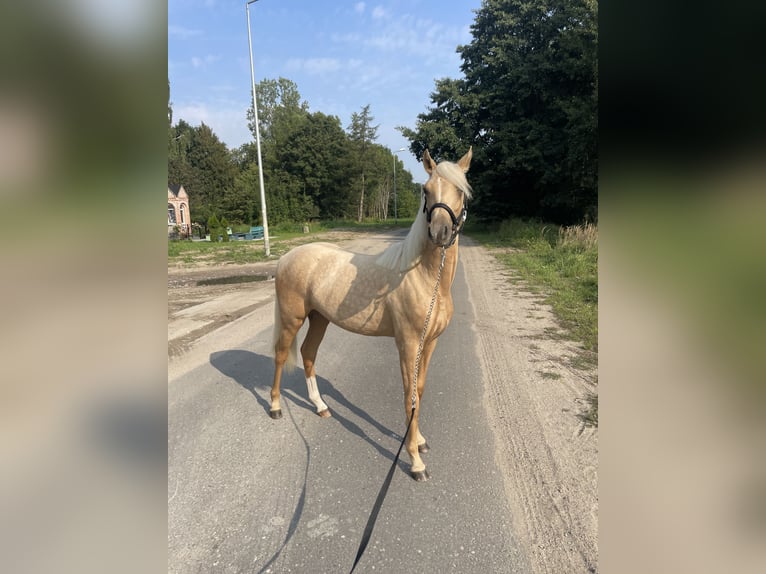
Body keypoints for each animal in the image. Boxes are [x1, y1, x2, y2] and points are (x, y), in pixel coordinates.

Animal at [270, 147, 472, 481]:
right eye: (426, 190)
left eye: (460, 190)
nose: (440, 232)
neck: (422, 277)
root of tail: (287, 256)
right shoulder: (408, 344)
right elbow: (408, 394)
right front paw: (415, 461)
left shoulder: (430, 343)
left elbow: (419, 391)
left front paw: (420, 440)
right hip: (291, 319)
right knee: (281, 355)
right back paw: (274, 407)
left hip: (319, 318)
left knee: (308, 353)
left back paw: (320, 406)